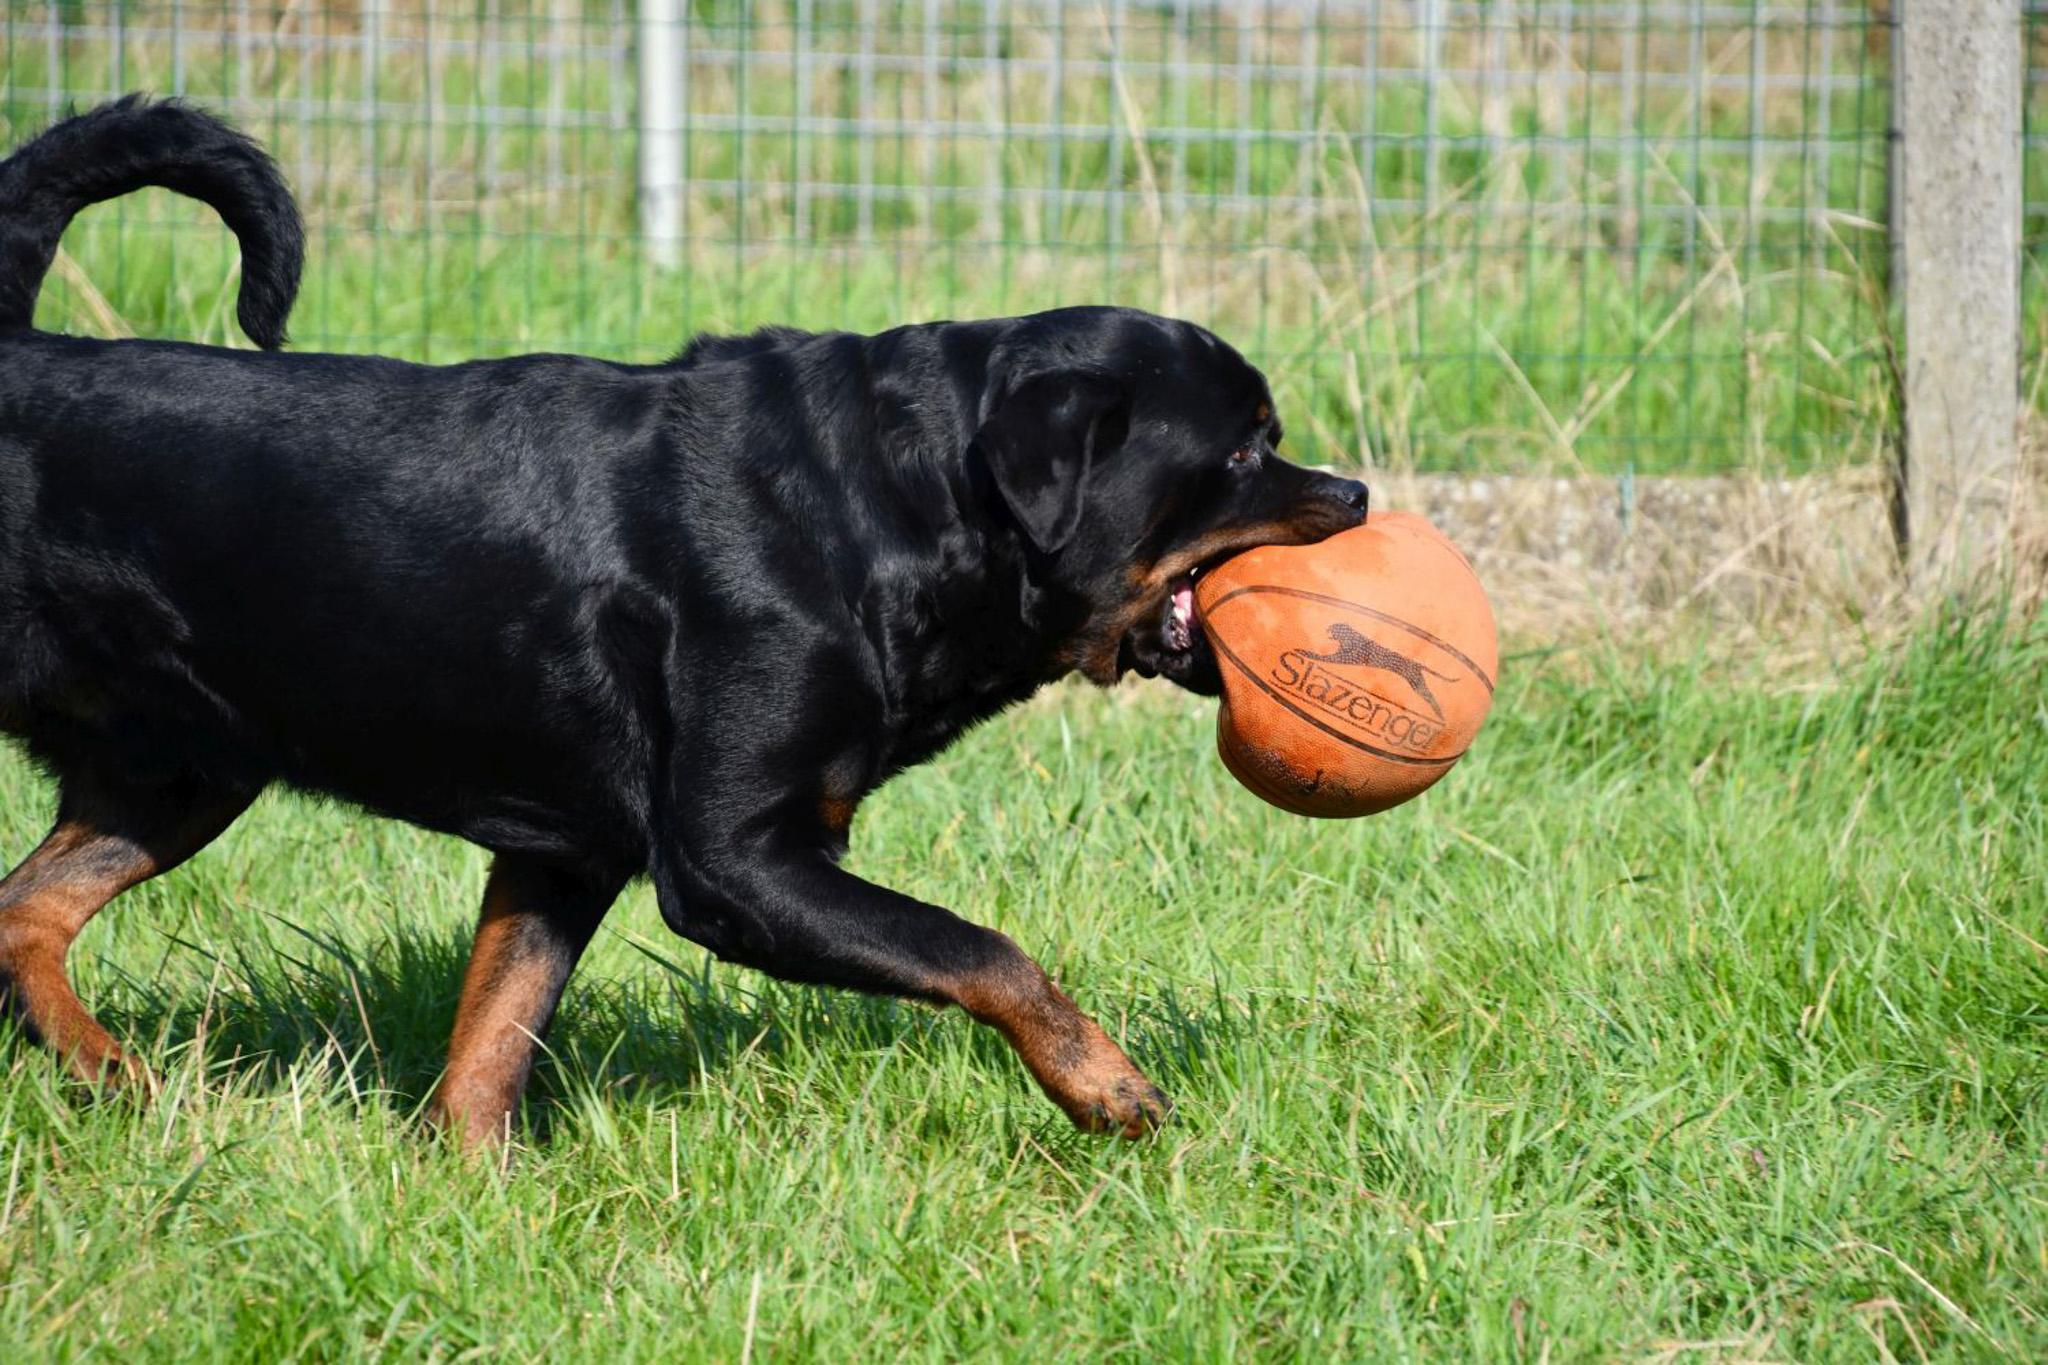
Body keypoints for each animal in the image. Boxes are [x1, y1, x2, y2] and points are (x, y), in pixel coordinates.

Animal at [4, 98, 1376, 1146]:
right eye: (1245, 451)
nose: (1357, 496)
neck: (889, 508)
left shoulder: (565, 853)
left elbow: (492, 1038)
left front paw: (472, 1192)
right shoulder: (735, 860)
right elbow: (981, 947)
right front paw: (1105, 1085)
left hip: (178, 766)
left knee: (26, 913)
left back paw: (115, 1074)